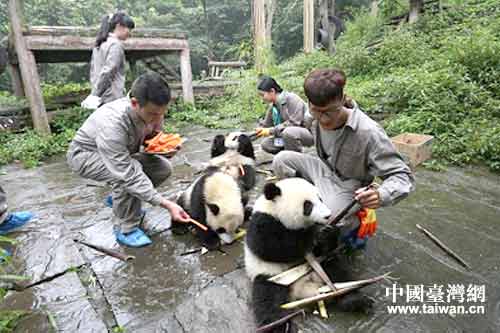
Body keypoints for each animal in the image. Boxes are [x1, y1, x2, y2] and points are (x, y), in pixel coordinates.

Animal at [244, 179, 374, 332]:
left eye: (320, 198)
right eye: (308, 205)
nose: (328, 216)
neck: (274, 211)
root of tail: (305, 290)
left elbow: (321, 249)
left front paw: (328, 234)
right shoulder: (262, 222)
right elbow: (272, 247)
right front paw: (315, 235)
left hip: (321, 265)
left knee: (338, 273)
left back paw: (355, 300)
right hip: (273, 276)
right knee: (269, 299)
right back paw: (280, 326)